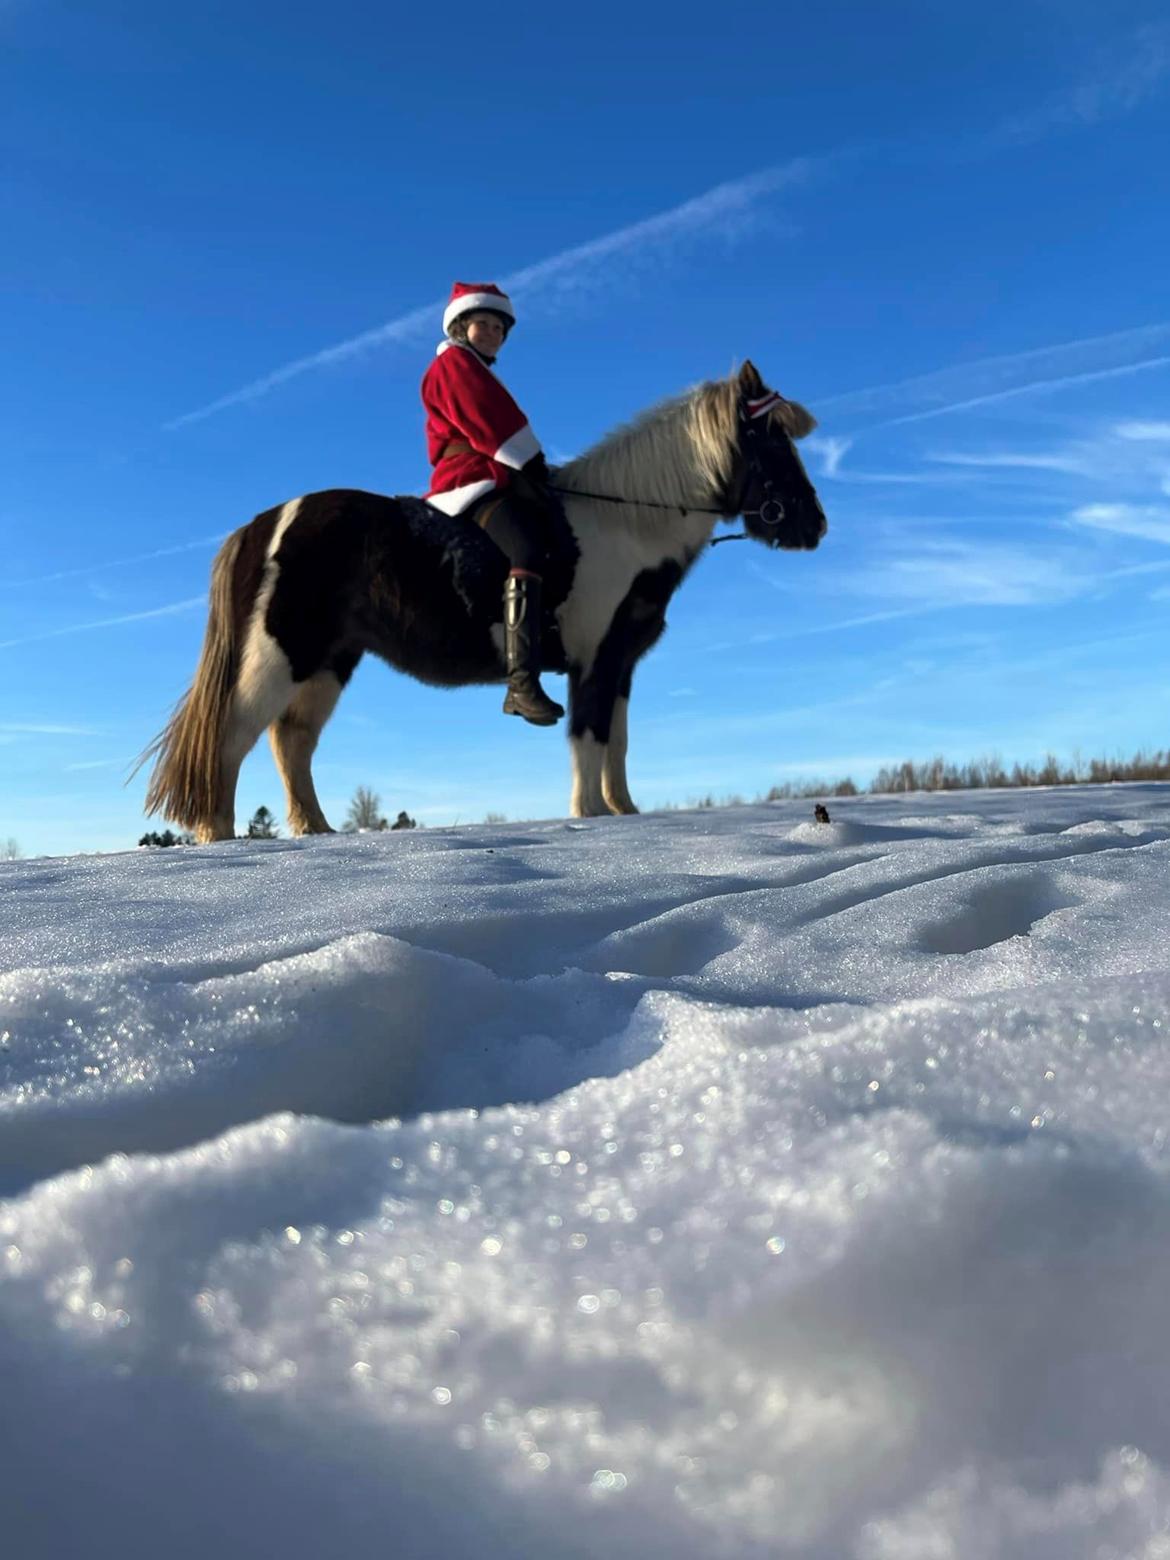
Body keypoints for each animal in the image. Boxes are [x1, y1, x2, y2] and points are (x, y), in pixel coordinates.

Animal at [141, 360, 829, 842]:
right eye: (771, 443)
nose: (815, 525)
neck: (627, 525)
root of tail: (263, 523)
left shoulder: (619, 663)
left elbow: (618, 740)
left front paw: (623, 810)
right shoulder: (592, 659)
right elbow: (588, 736)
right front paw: (590, 815)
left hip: (329, 659)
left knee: (292, 740)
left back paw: (315, 829)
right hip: (278, 653)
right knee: (232, 737)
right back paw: (219, 837)